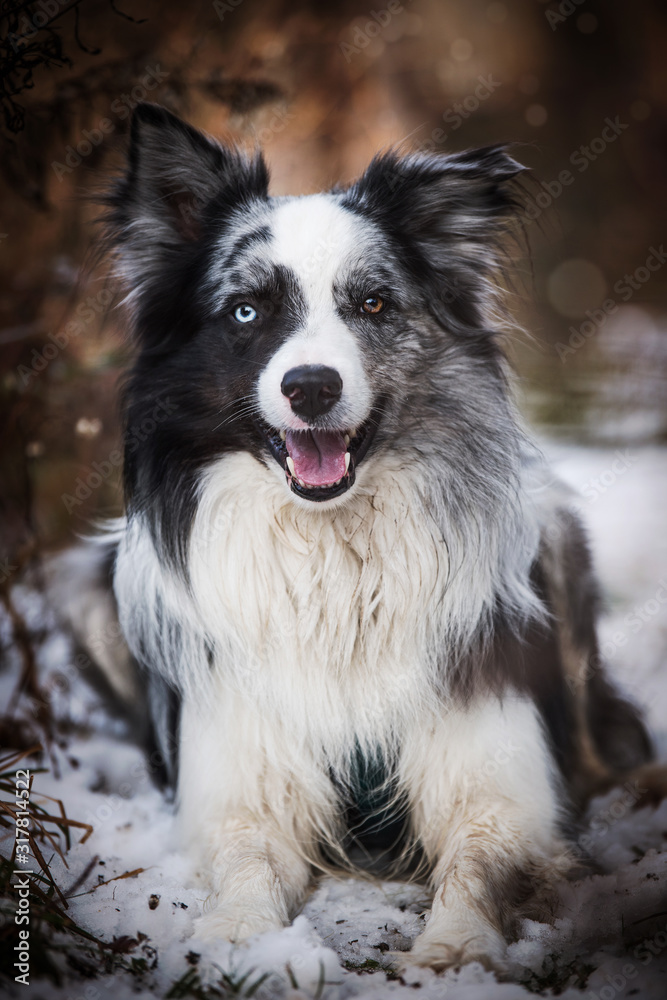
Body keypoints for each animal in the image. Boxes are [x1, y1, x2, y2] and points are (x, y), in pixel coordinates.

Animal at [85, 105, 656, 972]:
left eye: (374, 304)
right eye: (246, 310)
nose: (310, 387)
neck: (333, 554)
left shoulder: (500, 782)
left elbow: (480, 857)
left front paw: (454, 947)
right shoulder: (239, 779)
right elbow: (246, 856)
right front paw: (243, 940)